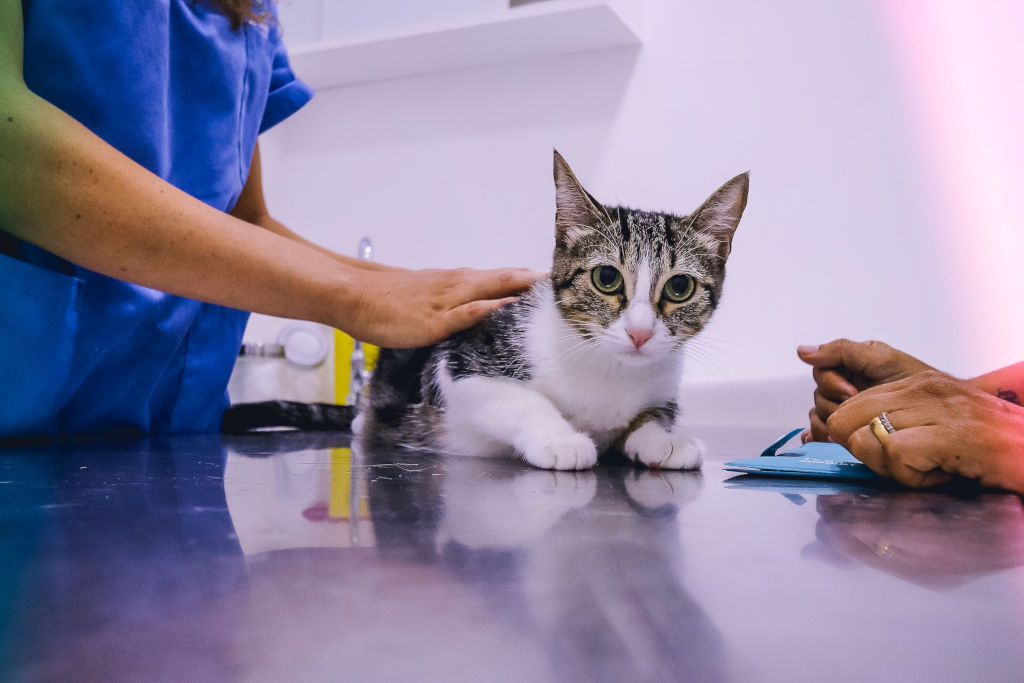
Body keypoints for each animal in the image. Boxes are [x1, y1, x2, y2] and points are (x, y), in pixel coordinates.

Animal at [356, 150, 749, 471]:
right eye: (607, 278)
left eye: (679, 287)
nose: (639, 333)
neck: (609, 367)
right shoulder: (456, 361)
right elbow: (516, 397)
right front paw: (561, 439)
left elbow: (652, 415)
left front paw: (663, 440)